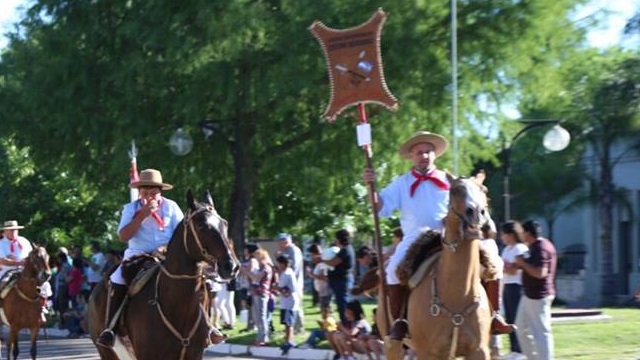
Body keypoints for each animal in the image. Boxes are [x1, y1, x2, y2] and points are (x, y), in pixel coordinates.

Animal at [87, 190, 240, 358]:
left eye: (224, 223)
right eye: (201, 225)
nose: (231, 266)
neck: (178, 307)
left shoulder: (194, 354)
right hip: (106, 351)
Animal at [380, 176, 496, 360]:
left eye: (484, 190)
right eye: (454, 190)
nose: (477, 213)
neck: (457, 295)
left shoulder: (479, 350)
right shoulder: (427, 353)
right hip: (392, 346)